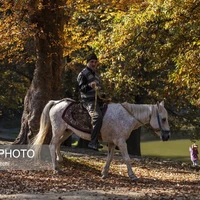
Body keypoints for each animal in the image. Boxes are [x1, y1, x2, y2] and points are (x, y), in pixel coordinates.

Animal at [32, 100, 170, 181]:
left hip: (67, 131)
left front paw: (104, 173)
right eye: (163, 119)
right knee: (52, 145)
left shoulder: (112, 142)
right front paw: (132, 175)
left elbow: (110, 157)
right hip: (58, 131)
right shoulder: (121, 141)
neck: (127, 116)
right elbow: (126, 158)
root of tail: (57, 103)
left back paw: (59, 160)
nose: (167, 137)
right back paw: (56, 167)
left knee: (57, 144)